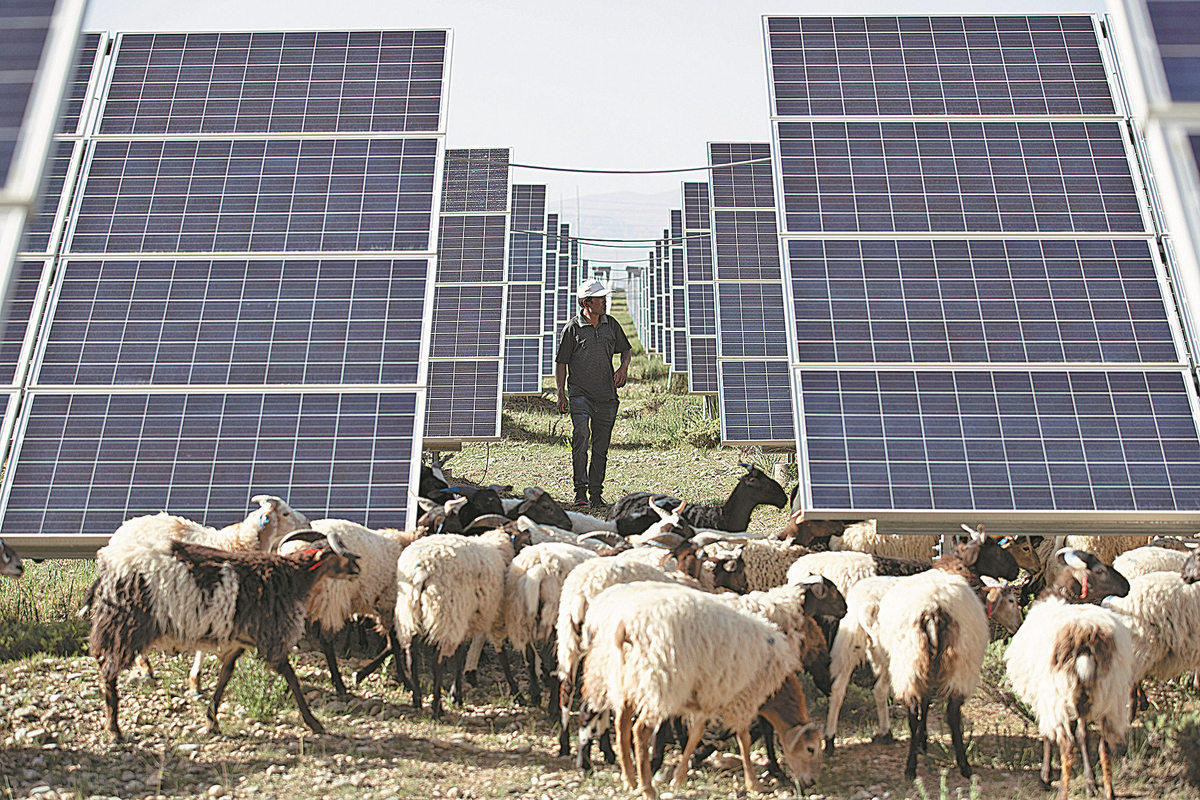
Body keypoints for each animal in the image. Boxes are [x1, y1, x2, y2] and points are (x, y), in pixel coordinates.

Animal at [88, 527, 359, 740]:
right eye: (337, 552)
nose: (357, 566)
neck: (291, 577)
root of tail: (110, 567)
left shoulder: (237, 641)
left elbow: (225, 676)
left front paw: (212, 721)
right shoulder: (271, 636)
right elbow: (291, 677)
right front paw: (314, 723)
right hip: (128, 624)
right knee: (109, 671)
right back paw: (114, 730)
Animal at [393, 525, 531, 715]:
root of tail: (422, 568)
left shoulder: (465, 617)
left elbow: (460, 655)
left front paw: (456, 696)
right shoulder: (494, 615)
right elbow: (501, 654)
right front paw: (517, 694)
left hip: (411, 611)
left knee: (410, 655)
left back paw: (417, 700)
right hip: (445, 612)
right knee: (437, 660)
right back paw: (437, 708)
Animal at [579, 581, 823, 799]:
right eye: (810, 749)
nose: (811, 783)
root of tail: (626, 626)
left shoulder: (708, 697)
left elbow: (696, 735)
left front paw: (679, 776)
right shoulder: (742, 697)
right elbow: (743, 739)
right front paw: (753, 783)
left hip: (624, 680)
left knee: (621, 726)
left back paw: (630, 780)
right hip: (659, 682)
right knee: (640, 730)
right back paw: (647, 789)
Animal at [1006, 549, 1134, 800]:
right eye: (1099, 570)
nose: (1127, 586)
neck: (1062, 596)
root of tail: (1086, 639)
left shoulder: (1045, 695)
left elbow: (1047, 734)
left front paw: (1045, 776)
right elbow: (1082, 734)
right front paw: (1088, 781)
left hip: (1061, 691)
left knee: (1067, 745)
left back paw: (1063, 792)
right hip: (1106, 693)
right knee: (1103, 745)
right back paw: (1107, 790)